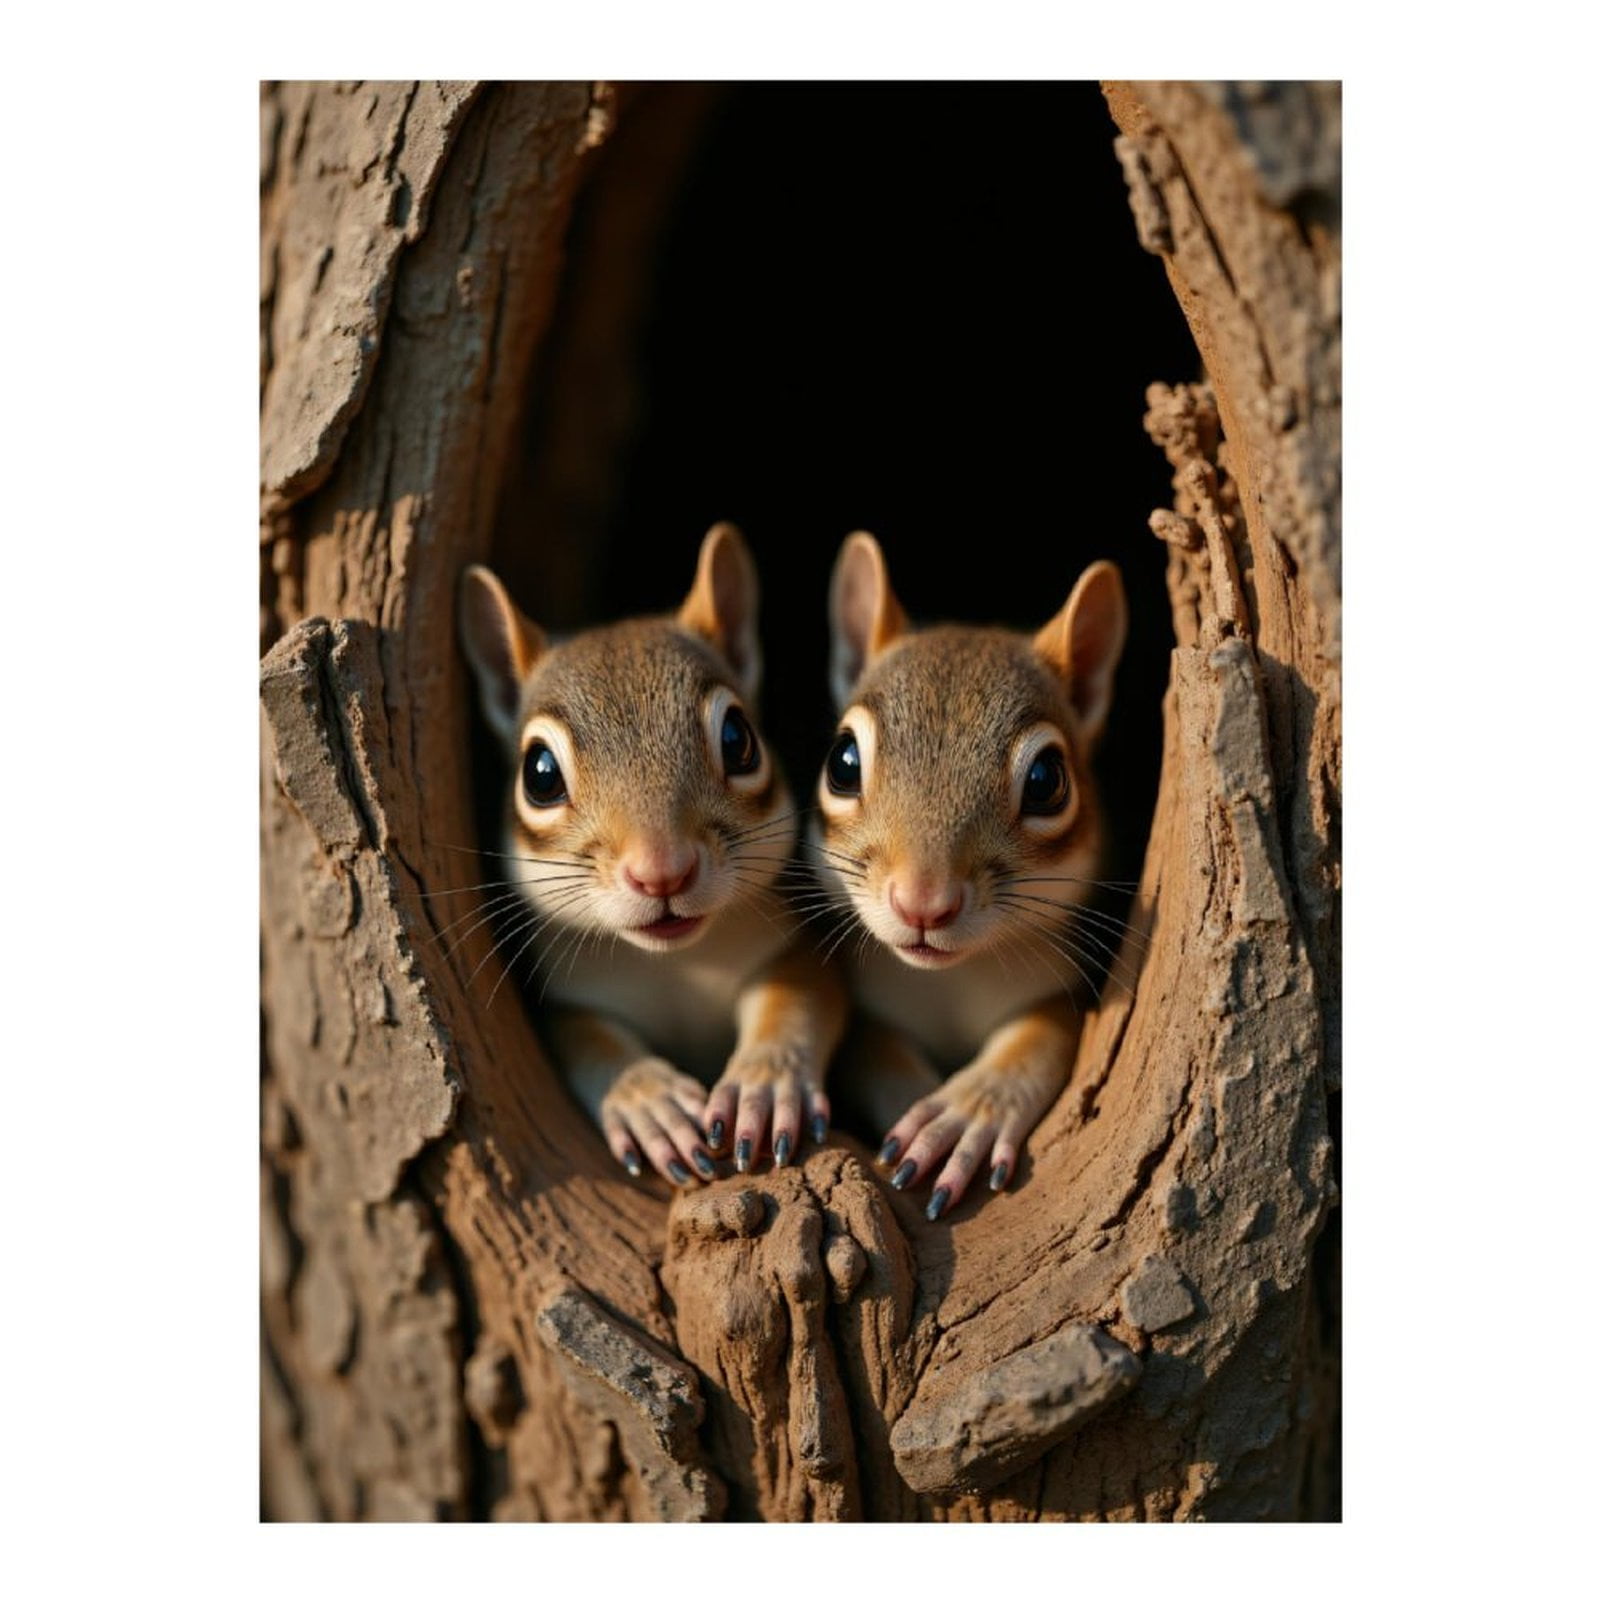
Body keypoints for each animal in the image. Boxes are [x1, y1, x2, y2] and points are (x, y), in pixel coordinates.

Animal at [458, 523, 846, 1188]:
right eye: (539, 774)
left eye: (739, 739)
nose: (662, 872)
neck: (675, 965)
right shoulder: (564, 994)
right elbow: (584, 1037)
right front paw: (647, 1102)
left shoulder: (799, 938)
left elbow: (801, 992)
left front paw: (766, 1084)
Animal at [811, 531, 1129, 1222]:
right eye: (841, 762)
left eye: (1047, 780)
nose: (922, 903)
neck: (950, 982)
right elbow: (872, 1049)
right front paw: (916, 1112)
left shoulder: (1066, 983)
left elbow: (1043, 1034)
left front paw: (966, 1113)